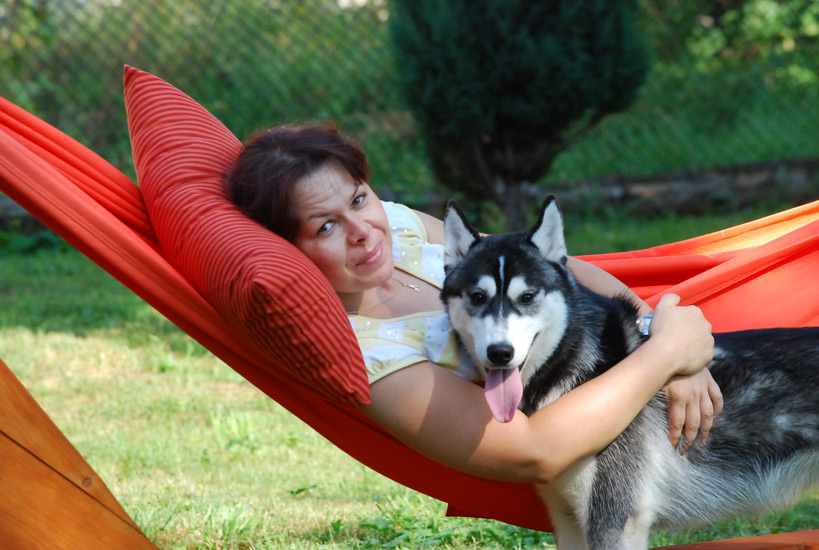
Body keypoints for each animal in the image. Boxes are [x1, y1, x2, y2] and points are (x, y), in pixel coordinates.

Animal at [440, 195, 819, 550]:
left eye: (528, 296)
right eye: (477, 296)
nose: (500, 353)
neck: (578, 368)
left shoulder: (615, 519)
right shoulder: (568, 519)